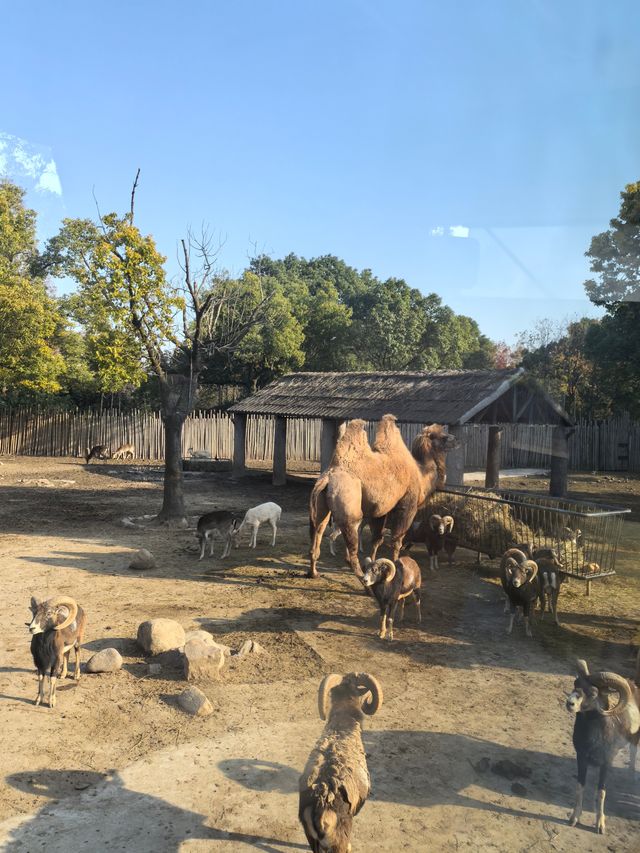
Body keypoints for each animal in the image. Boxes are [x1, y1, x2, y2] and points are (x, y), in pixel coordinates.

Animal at [308, 412, 458, 580]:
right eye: (443, 436)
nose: (457, 440)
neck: (421, 474)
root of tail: (328, 477)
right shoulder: (407, 506)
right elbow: (397, 539)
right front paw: (398, 566)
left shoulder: (382, 509)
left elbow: (377, 540)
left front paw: (374, 564)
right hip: (349, 507)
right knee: (351, 541)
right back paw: (360, 575)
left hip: (321, 506)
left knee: (318, 532)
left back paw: (314, 572)